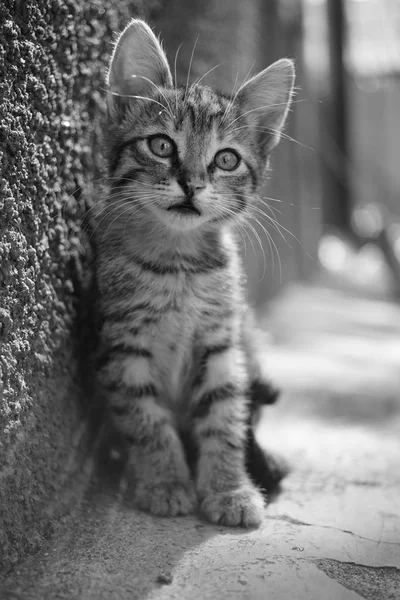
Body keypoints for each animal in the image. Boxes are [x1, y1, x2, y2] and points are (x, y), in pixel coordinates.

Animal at [93, 17, 294, 524]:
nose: (192, 184)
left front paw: (229, 489)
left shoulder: (221, 342)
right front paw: (164, 481)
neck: (179, 264)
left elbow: (225, 417)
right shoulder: (124, 345)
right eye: (161, 145)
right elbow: (146, 420)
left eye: (226, 159)